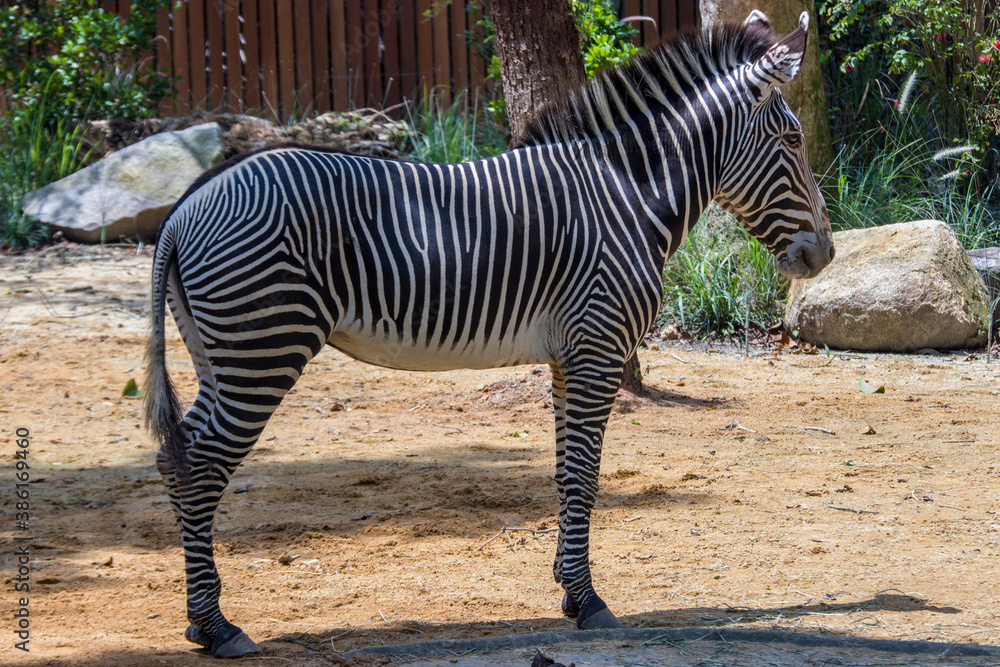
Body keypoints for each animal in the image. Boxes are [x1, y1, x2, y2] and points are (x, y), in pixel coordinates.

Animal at [145, 11, 833, 657]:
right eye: (793, 139)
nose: (825, 255)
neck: (627, 194)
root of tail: (188, 206)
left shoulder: (569, 356)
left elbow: (565, 473)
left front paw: (567, 588)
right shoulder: (599, 347)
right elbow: (585, 475)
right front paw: (589, 601)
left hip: (219, 354)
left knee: (176, 456)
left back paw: (200, 621)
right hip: (264, 344)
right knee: (202, 464)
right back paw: (218, 627)